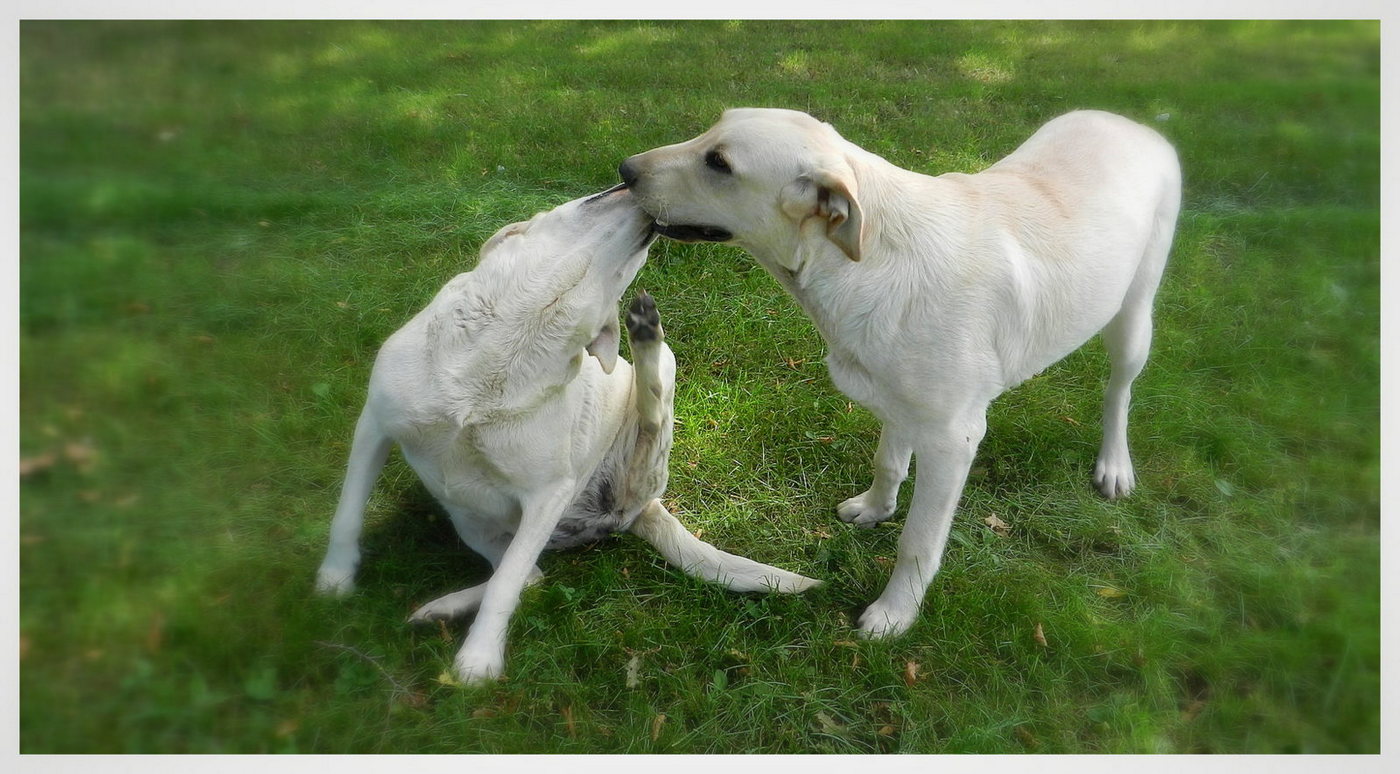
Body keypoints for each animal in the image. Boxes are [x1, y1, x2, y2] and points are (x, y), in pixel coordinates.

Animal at [315, 187, 817, 683]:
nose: (632, 185)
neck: (514, 335)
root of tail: (639, 512)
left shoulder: (547, 492)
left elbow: (506, 586)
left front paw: (479, 658)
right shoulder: (374, 424)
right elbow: (347, 515)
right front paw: (334, 581)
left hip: (652, 412)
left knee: (650, 414)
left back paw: (646, 336)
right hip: (469, 520)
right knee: (532, 575)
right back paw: (440, 609)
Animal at [618, 108, 1176, 641]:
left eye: (719, 164)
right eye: (710, 131)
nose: (624, 170)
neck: (864, 261)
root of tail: (1135, 125)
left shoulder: (952, 441)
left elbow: (917, 542)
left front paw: (895, 614)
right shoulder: (895, 398)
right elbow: (888, 462)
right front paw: (875, 509)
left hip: (1134, 319)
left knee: (1119, 394)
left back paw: (1115, 466)